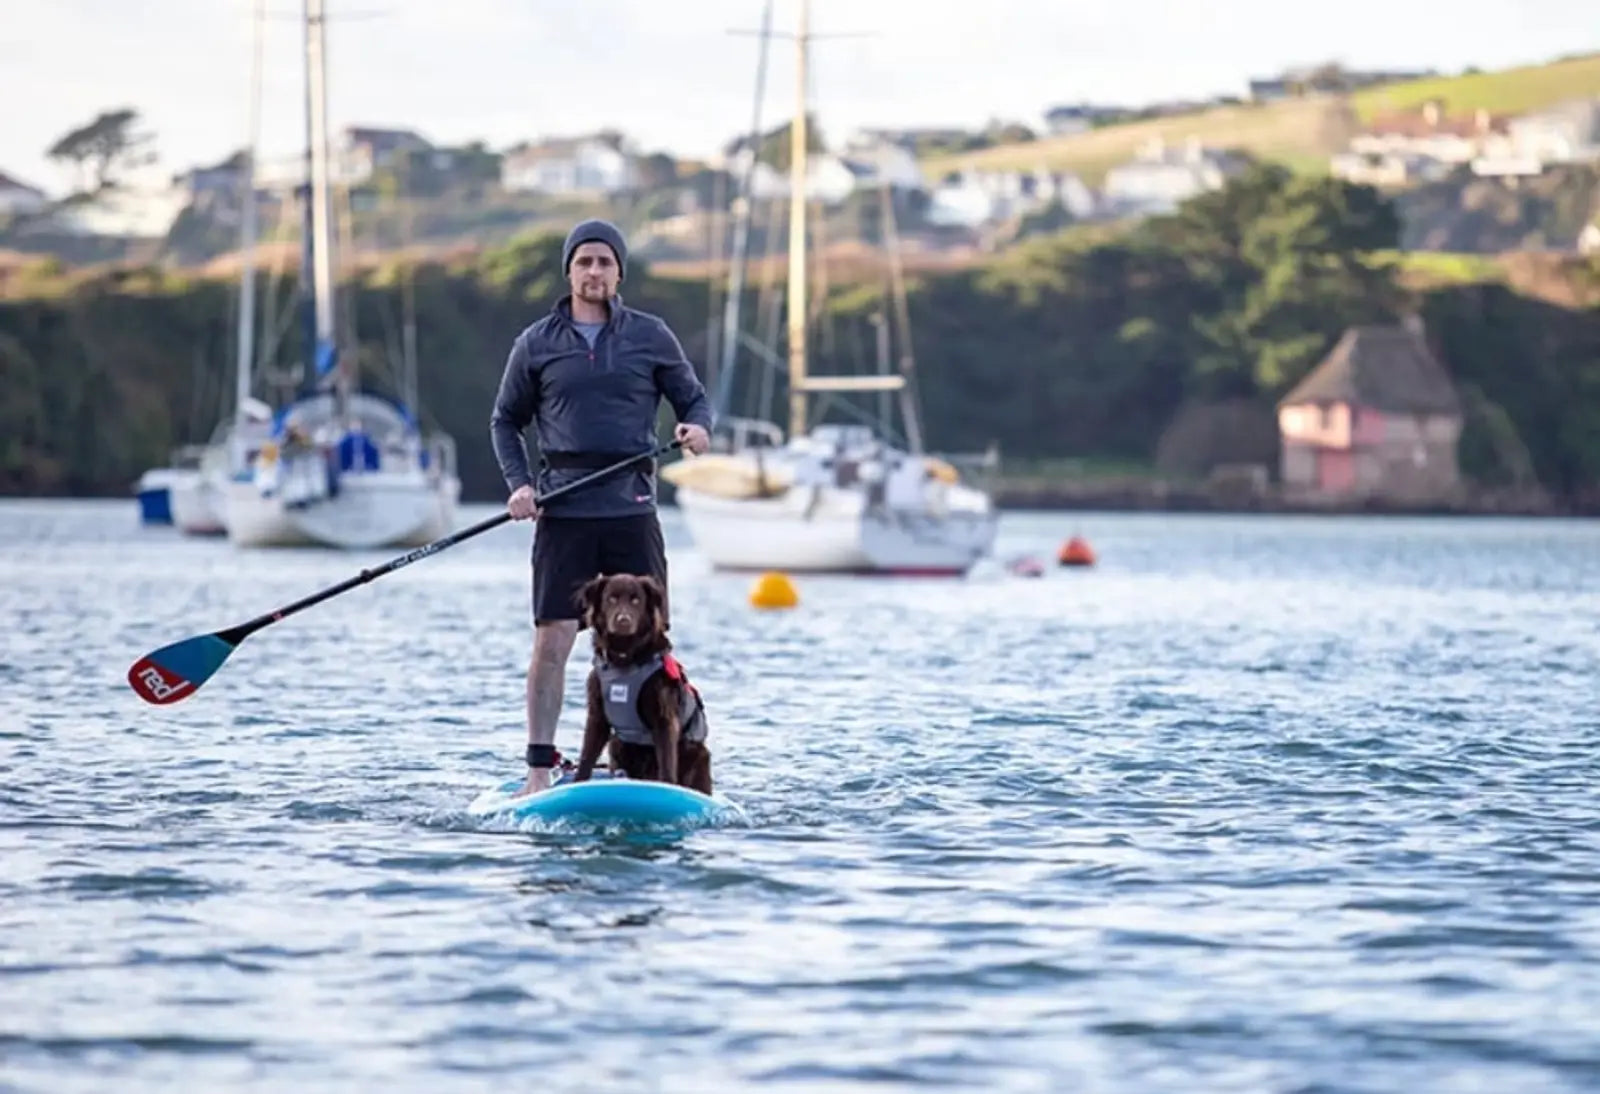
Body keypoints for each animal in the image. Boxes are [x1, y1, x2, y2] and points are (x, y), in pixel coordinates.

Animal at [566, 572, 710, 793]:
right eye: (612, 599)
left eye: (636, 600)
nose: (623, 620)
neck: (626, 658)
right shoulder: (597, 716)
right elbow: (586, 758)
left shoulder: (664, 719)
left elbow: (667, 765)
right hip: (616, 744)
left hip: (697, 754)